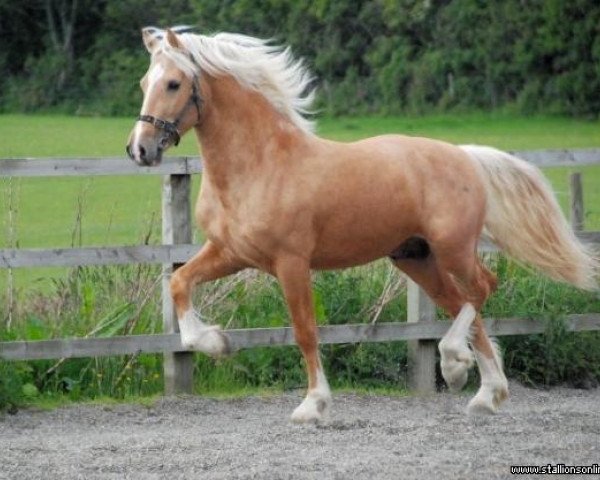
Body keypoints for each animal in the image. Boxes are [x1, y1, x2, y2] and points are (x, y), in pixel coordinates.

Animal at [125, 28, 596, 422]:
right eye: (145, 83)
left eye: (173, 84)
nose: (140, 150)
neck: (259, 165)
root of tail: (465, 155)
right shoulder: (231, 253)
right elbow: (180, 283)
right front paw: (217, 343)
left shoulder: (291, 262)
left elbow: (305, 332)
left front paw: (312, 406)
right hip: (416, 258)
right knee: (463, 301)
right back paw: (484, 392)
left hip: (453, 249)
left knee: (481, 289)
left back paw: (455, 365)